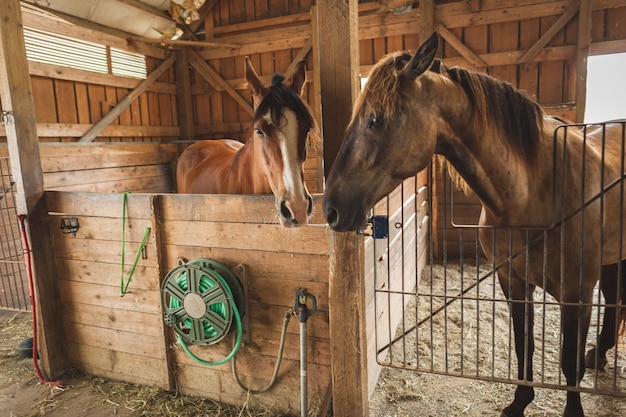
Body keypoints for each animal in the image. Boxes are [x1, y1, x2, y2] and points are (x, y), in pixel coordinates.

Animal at [322, 32, 624, 416]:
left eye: (375, 119)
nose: (330, 209)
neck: (534, 194)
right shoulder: (513, 281)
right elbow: (523, 344)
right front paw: (519, 402)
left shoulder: (578, 292)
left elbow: (569, 361)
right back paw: (599, 354)